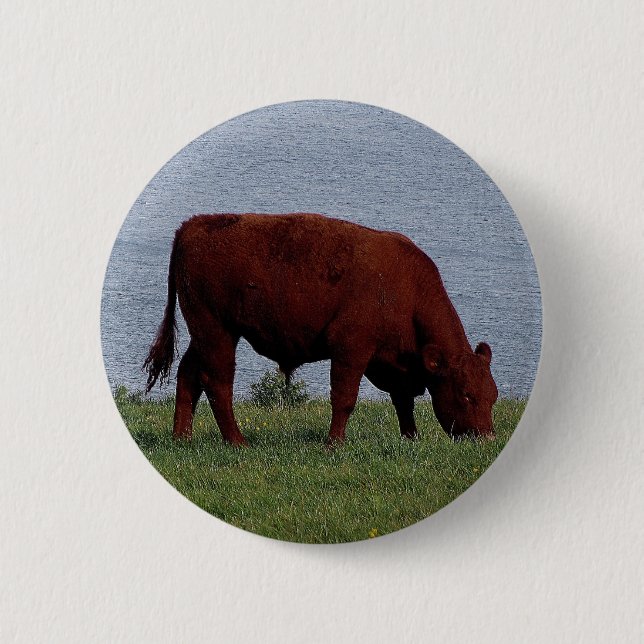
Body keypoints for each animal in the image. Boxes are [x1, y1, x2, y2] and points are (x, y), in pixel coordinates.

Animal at [144, 213, 498, 446]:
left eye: (493, 395)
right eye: (466, 394)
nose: (486, 438)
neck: (405, 288)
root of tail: (193, 225)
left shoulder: (395, 363)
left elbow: (403, 401)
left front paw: (411, 438)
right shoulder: (351, 349)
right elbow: (345, 398)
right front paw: (334, 443)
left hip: (203, 334)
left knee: (188, 375)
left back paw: (182, 437)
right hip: (217, 332)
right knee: (217, 382)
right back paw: (237, 441)